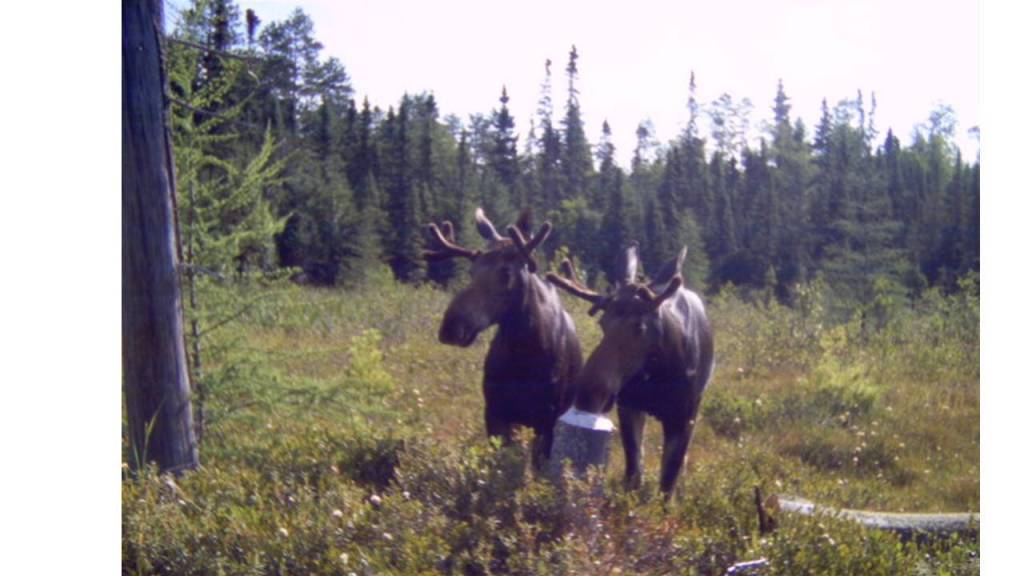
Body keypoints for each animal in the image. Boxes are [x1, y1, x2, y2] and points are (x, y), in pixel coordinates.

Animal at [423, 208, 585, 463]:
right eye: (471, 270)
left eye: (507, 272)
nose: (451, 327)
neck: (525, 350)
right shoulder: (494, 411)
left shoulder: (548, 419)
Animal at [548, 241, 716, 498]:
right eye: (602, 322)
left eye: (640, 326)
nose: (589, 392)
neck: (658, 376)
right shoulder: (628, 405)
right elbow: (634, 472)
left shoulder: (685, 416)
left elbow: (668, 482)